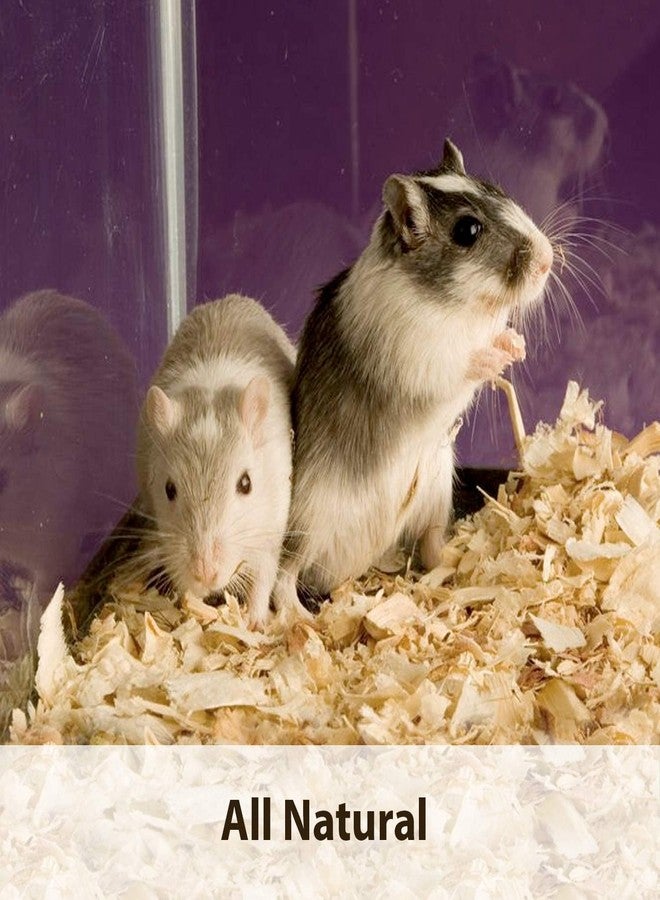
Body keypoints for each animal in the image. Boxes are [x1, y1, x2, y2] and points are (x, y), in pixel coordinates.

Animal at [136, 294, 296, 629]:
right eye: (169, 490)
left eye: (246, 484)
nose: (206, 574)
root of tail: (229, 297)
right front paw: (192, 611)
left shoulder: (270, 530)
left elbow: (262, 579)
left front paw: (255, 624)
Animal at [276, 139, 553, 608]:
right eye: (467, 231)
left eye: (499, 191)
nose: (549, 260)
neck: (454, 305)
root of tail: (346, 570)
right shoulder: (425, 362)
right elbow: (462, 366)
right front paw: (494, 359)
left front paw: (515, 346)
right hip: (308, 520)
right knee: (283, 576)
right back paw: (294, 616)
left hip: (434, 497)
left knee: (431, 545)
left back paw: (453, 570)